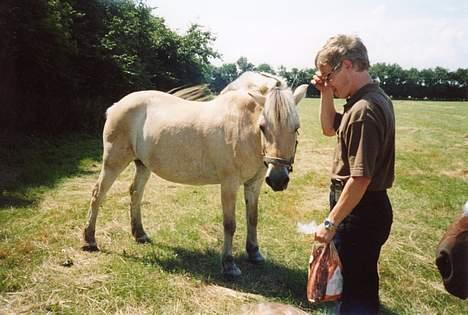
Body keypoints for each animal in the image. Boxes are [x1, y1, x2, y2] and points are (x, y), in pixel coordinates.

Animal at [83, 72, 310, 278]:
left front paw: (254, 253)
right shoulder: (229, 184)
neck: (243, 125)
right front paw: (229, 265)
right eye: (263, 127)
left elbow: (253, 218)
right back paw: (89, 240)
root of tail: (115, 106)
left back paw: (140, 234)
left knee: (135, 194)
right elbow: (230, 224)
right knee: (98, 194)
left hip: (143, 165)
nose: (279, 179)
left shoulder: (254, 184)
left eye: (296, 128)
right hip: (113, 162)